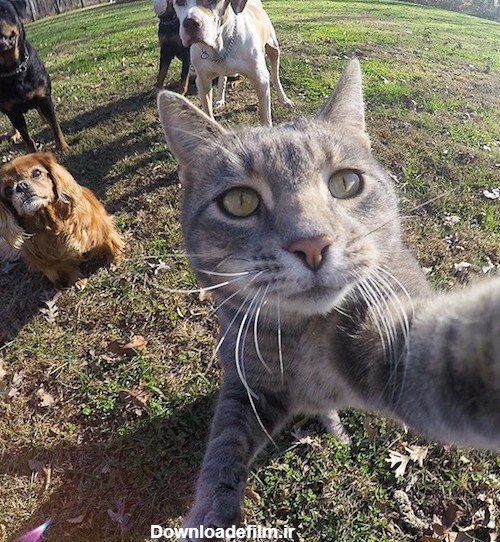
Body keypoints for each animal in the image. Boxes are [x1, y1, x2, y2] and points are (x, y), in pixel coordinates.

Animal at [0, 0, 68, 153]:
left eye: (4, 11)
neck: (14, 69)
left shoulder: (44, 98)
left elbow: (55, 128)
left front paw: (63, 147)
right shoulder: (13, 111)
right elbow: (27, 138)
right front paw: (32, 153)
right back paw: (15, 134)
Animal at [0, 153, 123, 285]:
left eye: (36, 173)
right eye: (7, 190)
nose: (21, 186)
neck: (50, 223)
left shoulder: (101, 230)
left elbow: (110, 244)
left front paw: (114, 261)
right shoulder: (55, 260)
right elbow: (68, 268)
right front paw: (78, 281)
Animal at [157, 59, 500, 541]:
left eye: (346, 182)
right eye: (240, 201)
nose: (312, 243)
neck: (301, 341)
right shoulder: (247, 381)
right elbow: (225, 443)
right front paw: (208, 513)